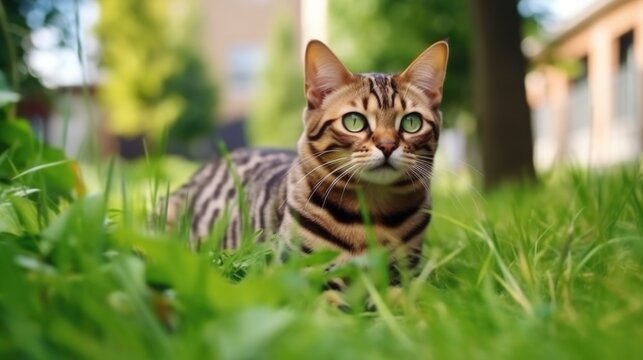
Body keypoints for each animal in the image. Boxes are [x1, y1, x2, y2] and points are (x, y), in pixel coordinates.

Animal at [164, 39, 450, 280]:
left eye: (411, 123)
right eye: (354, 121)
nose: (388, 145)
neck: (372, 211)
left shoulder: (404, 271)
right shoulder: (294, 268)